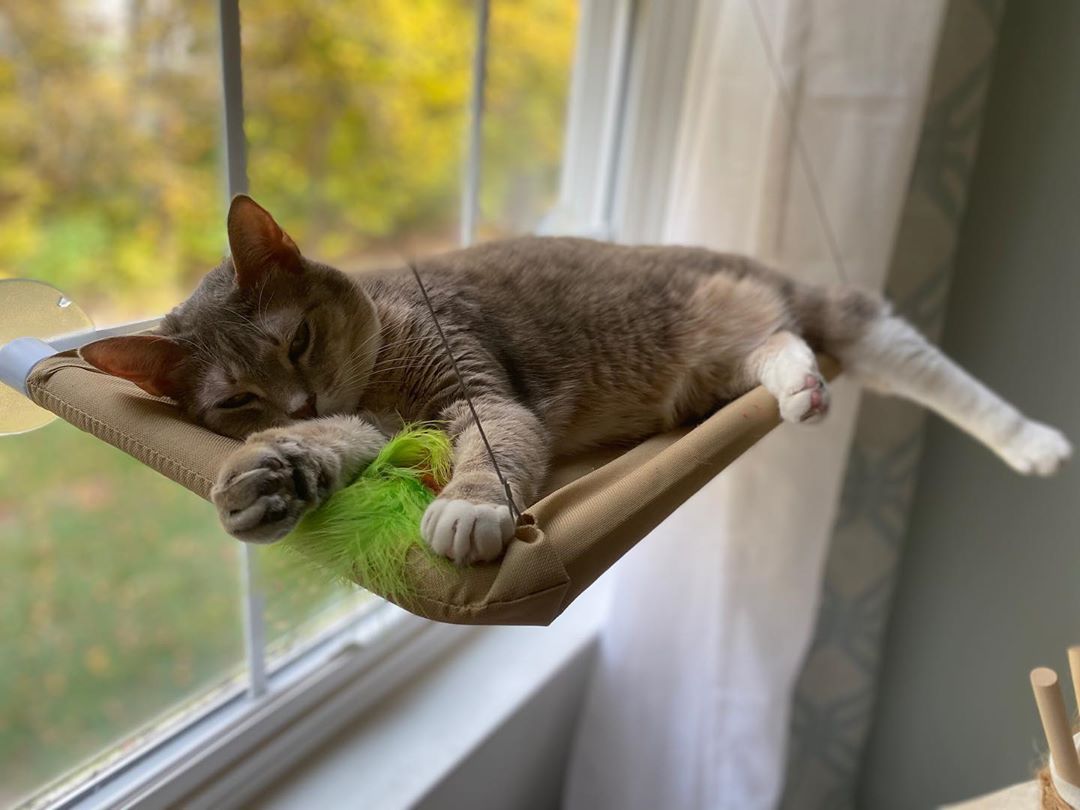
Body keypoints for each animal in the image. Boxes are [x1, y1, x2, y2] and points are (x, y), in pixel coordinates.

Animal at [82, 195, 1071, 565]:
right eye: (236, 400)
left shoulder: (477, 388)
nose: (303, 398)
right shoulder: (370, 425)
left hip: (777, 310)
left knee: (868, 349)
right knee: (779, 348)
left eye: (297, 340)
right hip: (725, 352)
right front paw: (264, 477)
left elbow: (492, 447)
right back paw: (800, 391)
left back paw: (1034, 444)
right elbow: (329, 446)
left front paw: (469, 509)